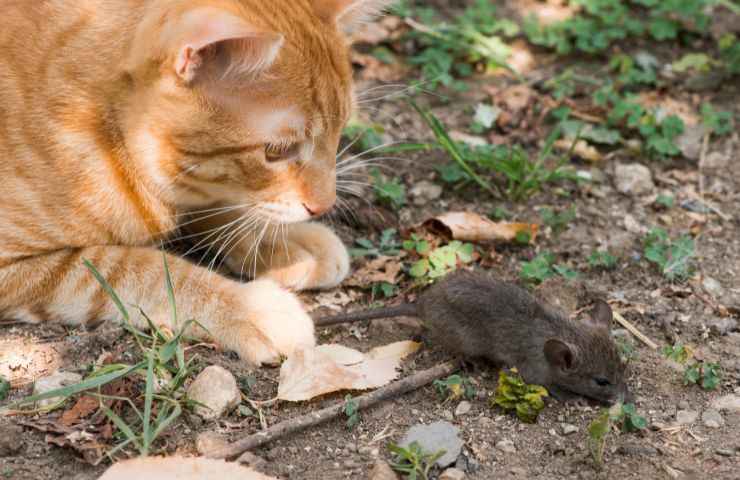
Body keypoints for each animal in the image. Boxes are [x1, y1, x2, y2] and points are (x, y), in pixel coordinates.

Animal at [0, 0, 394, 366]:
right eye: (277, 151)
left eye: (341, 130)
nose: (325, 204)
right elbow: (142, 270)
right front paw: (250, 309)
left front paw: (278, 241)